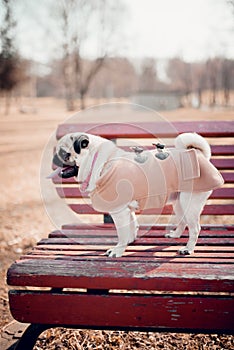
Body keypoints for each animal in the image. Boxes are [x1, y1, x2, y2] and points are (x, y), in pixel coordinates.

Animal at [51, 131, 225, 258]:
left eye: (64, 153)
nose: (54, 158)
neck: (100, 162)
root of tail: (198, 154)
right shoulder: (126, 209)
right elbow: (131, 225)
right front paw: (129, 240)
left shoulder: (119, 211)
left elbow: (121, 232)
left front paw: (118, 250)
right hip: (179, 201)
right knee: (183, 222)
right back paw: (175, 235)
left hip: (190, 202)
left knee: (195, 228)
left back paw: (188, 249)